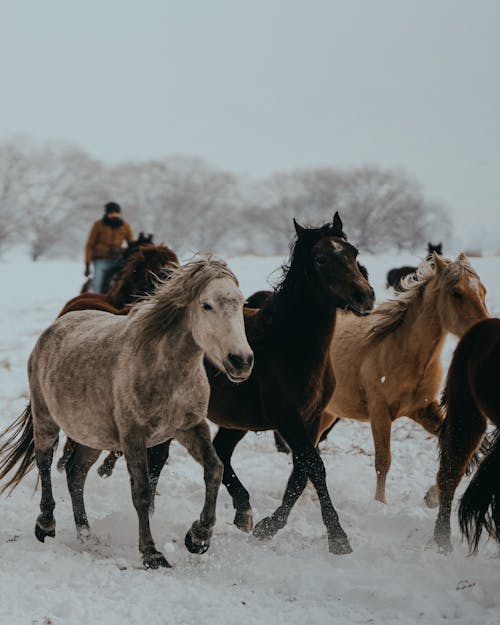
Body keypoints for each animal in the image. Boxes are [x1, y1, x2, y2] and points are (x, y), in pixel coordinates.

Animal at [0, 256, 252, 568]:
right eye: (206, 305)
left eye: (240, 303)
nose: (241, 361)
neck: (165, 368)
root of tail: (53, 329)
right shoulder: (134, 436)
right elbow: (141, 492)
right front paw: (152, 553)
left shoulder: (190, 428)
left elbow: (214, 469)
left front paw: (198, 538)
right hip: (45, 419)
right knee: (45, 463)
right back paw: (46, 526)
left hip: (92, 435)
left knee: (76, 474)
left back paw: (87, 535)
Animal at [320, 252, 488, 502]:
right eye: (456, 293)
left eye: (483, 291)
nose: (484, 331)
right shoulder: (379, 412)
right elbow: (383, 462)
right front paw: (380, 504)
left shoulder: (423, 409)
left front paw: (432, 496)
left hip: (328, 413)